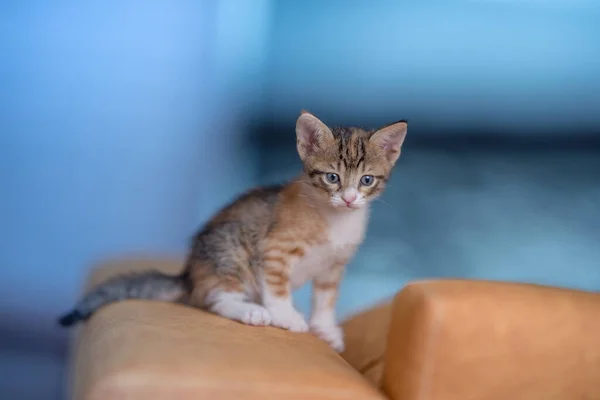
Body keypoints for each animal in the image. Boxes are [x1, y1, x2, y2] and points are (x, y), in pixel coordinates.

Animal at [58, 111, 408, 352]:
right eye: (332, 177)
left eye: (366, 180)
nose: (349, 199)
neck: (335, 219)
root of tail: (189, 275)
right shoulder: (276, 248)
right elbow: (277, 287)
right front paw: (286, 316)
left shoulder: (334, 264)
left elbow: (325, 298)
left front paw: (325, 328)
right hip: (231, 252)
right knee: (214, 298)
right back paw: (251, 311)